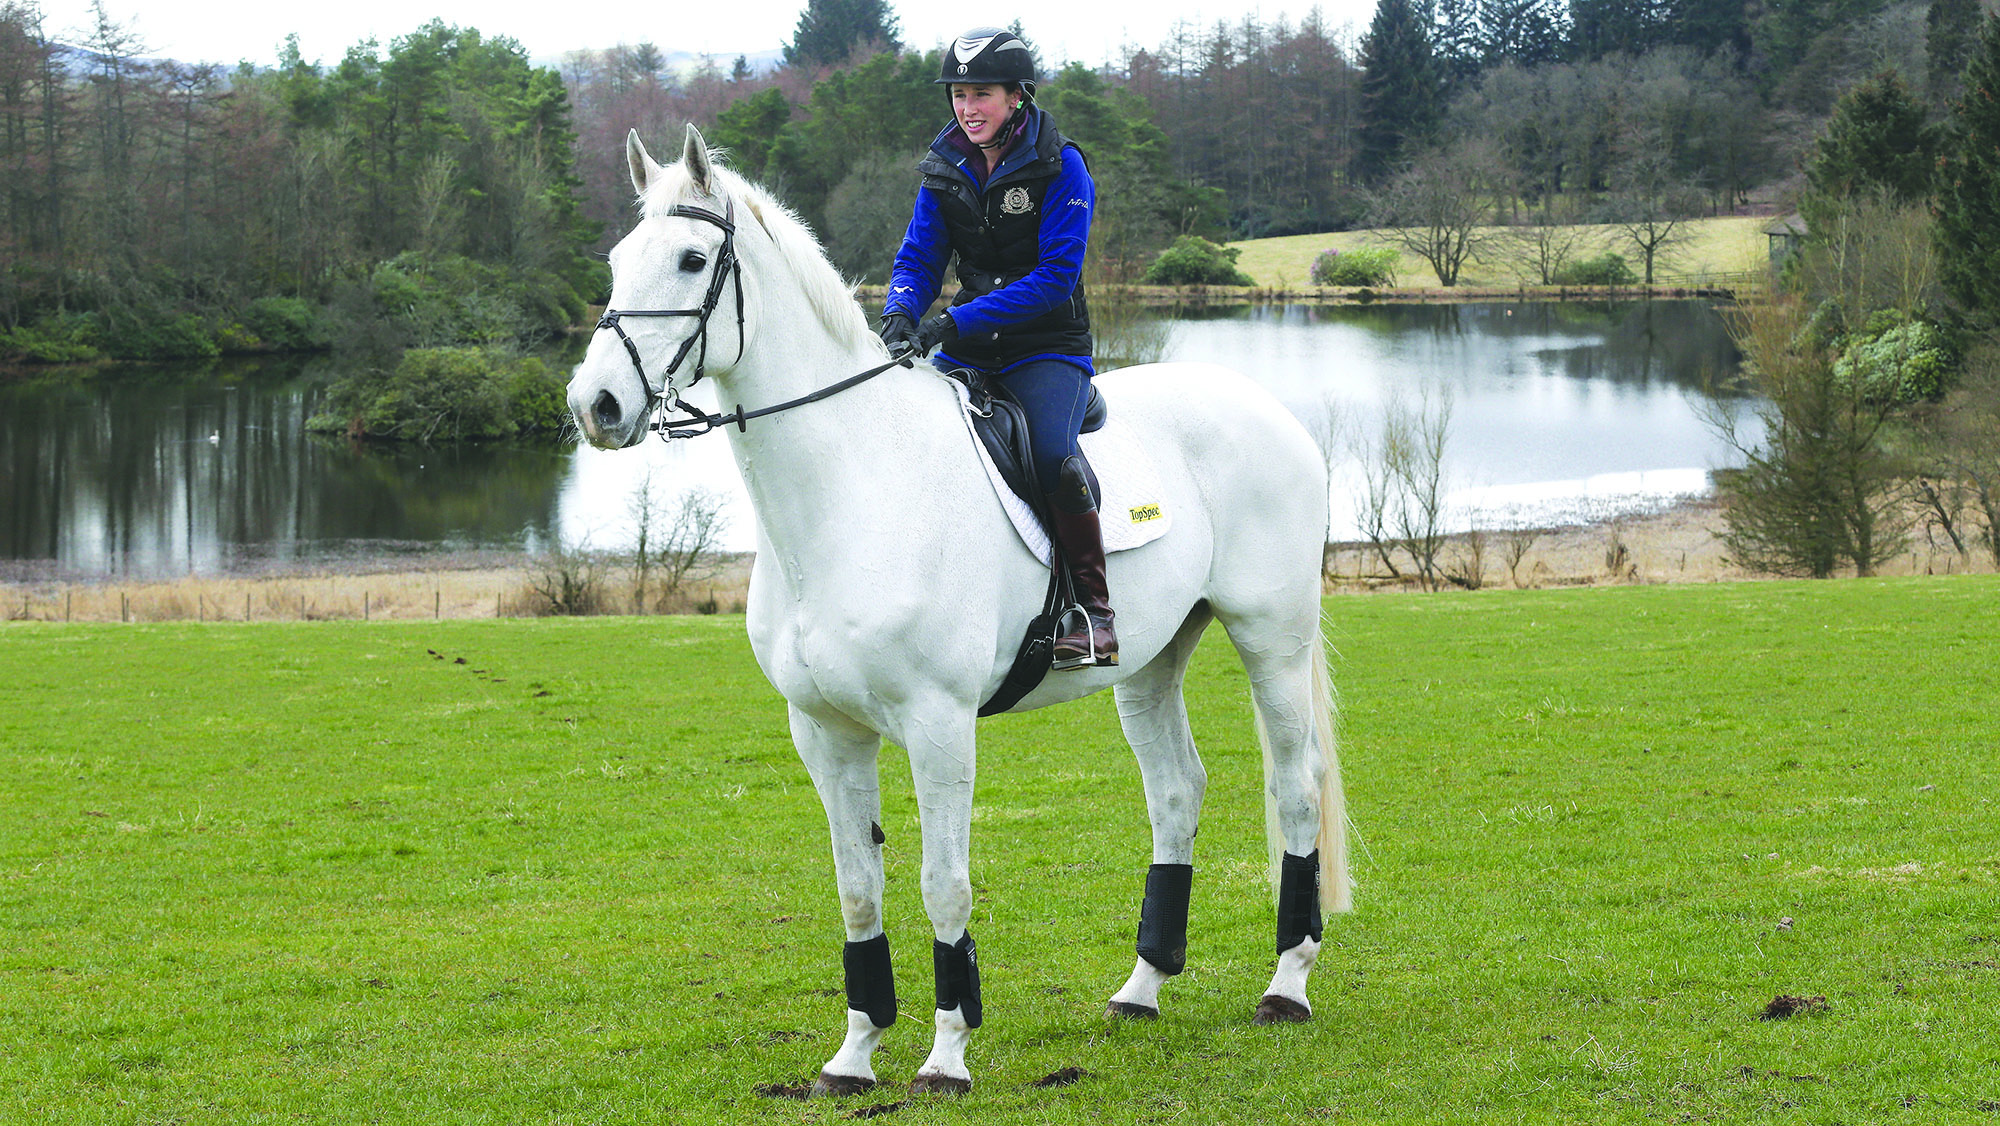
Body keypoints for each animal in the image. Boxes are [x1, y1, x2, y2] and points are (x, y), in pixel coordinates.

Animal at [567, 125, 1349, 1098]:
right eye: (616, 260)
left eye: (691, 259)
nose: (596, 406)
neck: (851, 490)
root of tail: (1267, 408)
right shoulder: (824, 732)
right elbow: (858, 889)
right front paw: (854, 1055)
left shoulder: (939, 727)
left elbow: (945, 884)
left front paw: (945, 1055)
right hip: (1150, 661)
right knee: (1176, 791)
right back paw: (1142, 987)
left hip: (1270, 641)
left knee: (1294, 787)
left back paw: (1289, 984)